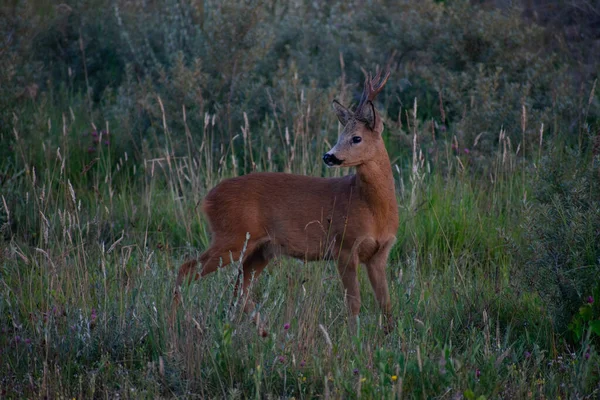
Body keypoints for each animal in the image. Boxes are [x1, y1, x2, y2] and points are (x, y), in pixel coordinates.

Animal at [173, 68, 398, 334]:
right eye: (340, 135)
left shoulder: (379, 254)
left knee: (240, 289)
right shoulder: (344, 245)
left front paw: (390, 337)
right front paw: (353, 338)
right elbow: (354, 303)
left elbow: (386, 304)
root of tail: (207, 198)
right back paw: (174, 322)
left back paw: (264, 331)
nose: (329, 156)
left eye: (356, 138)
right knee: (187, 270)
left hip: (261, 249)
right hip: (232, 237)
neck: (373, 209)